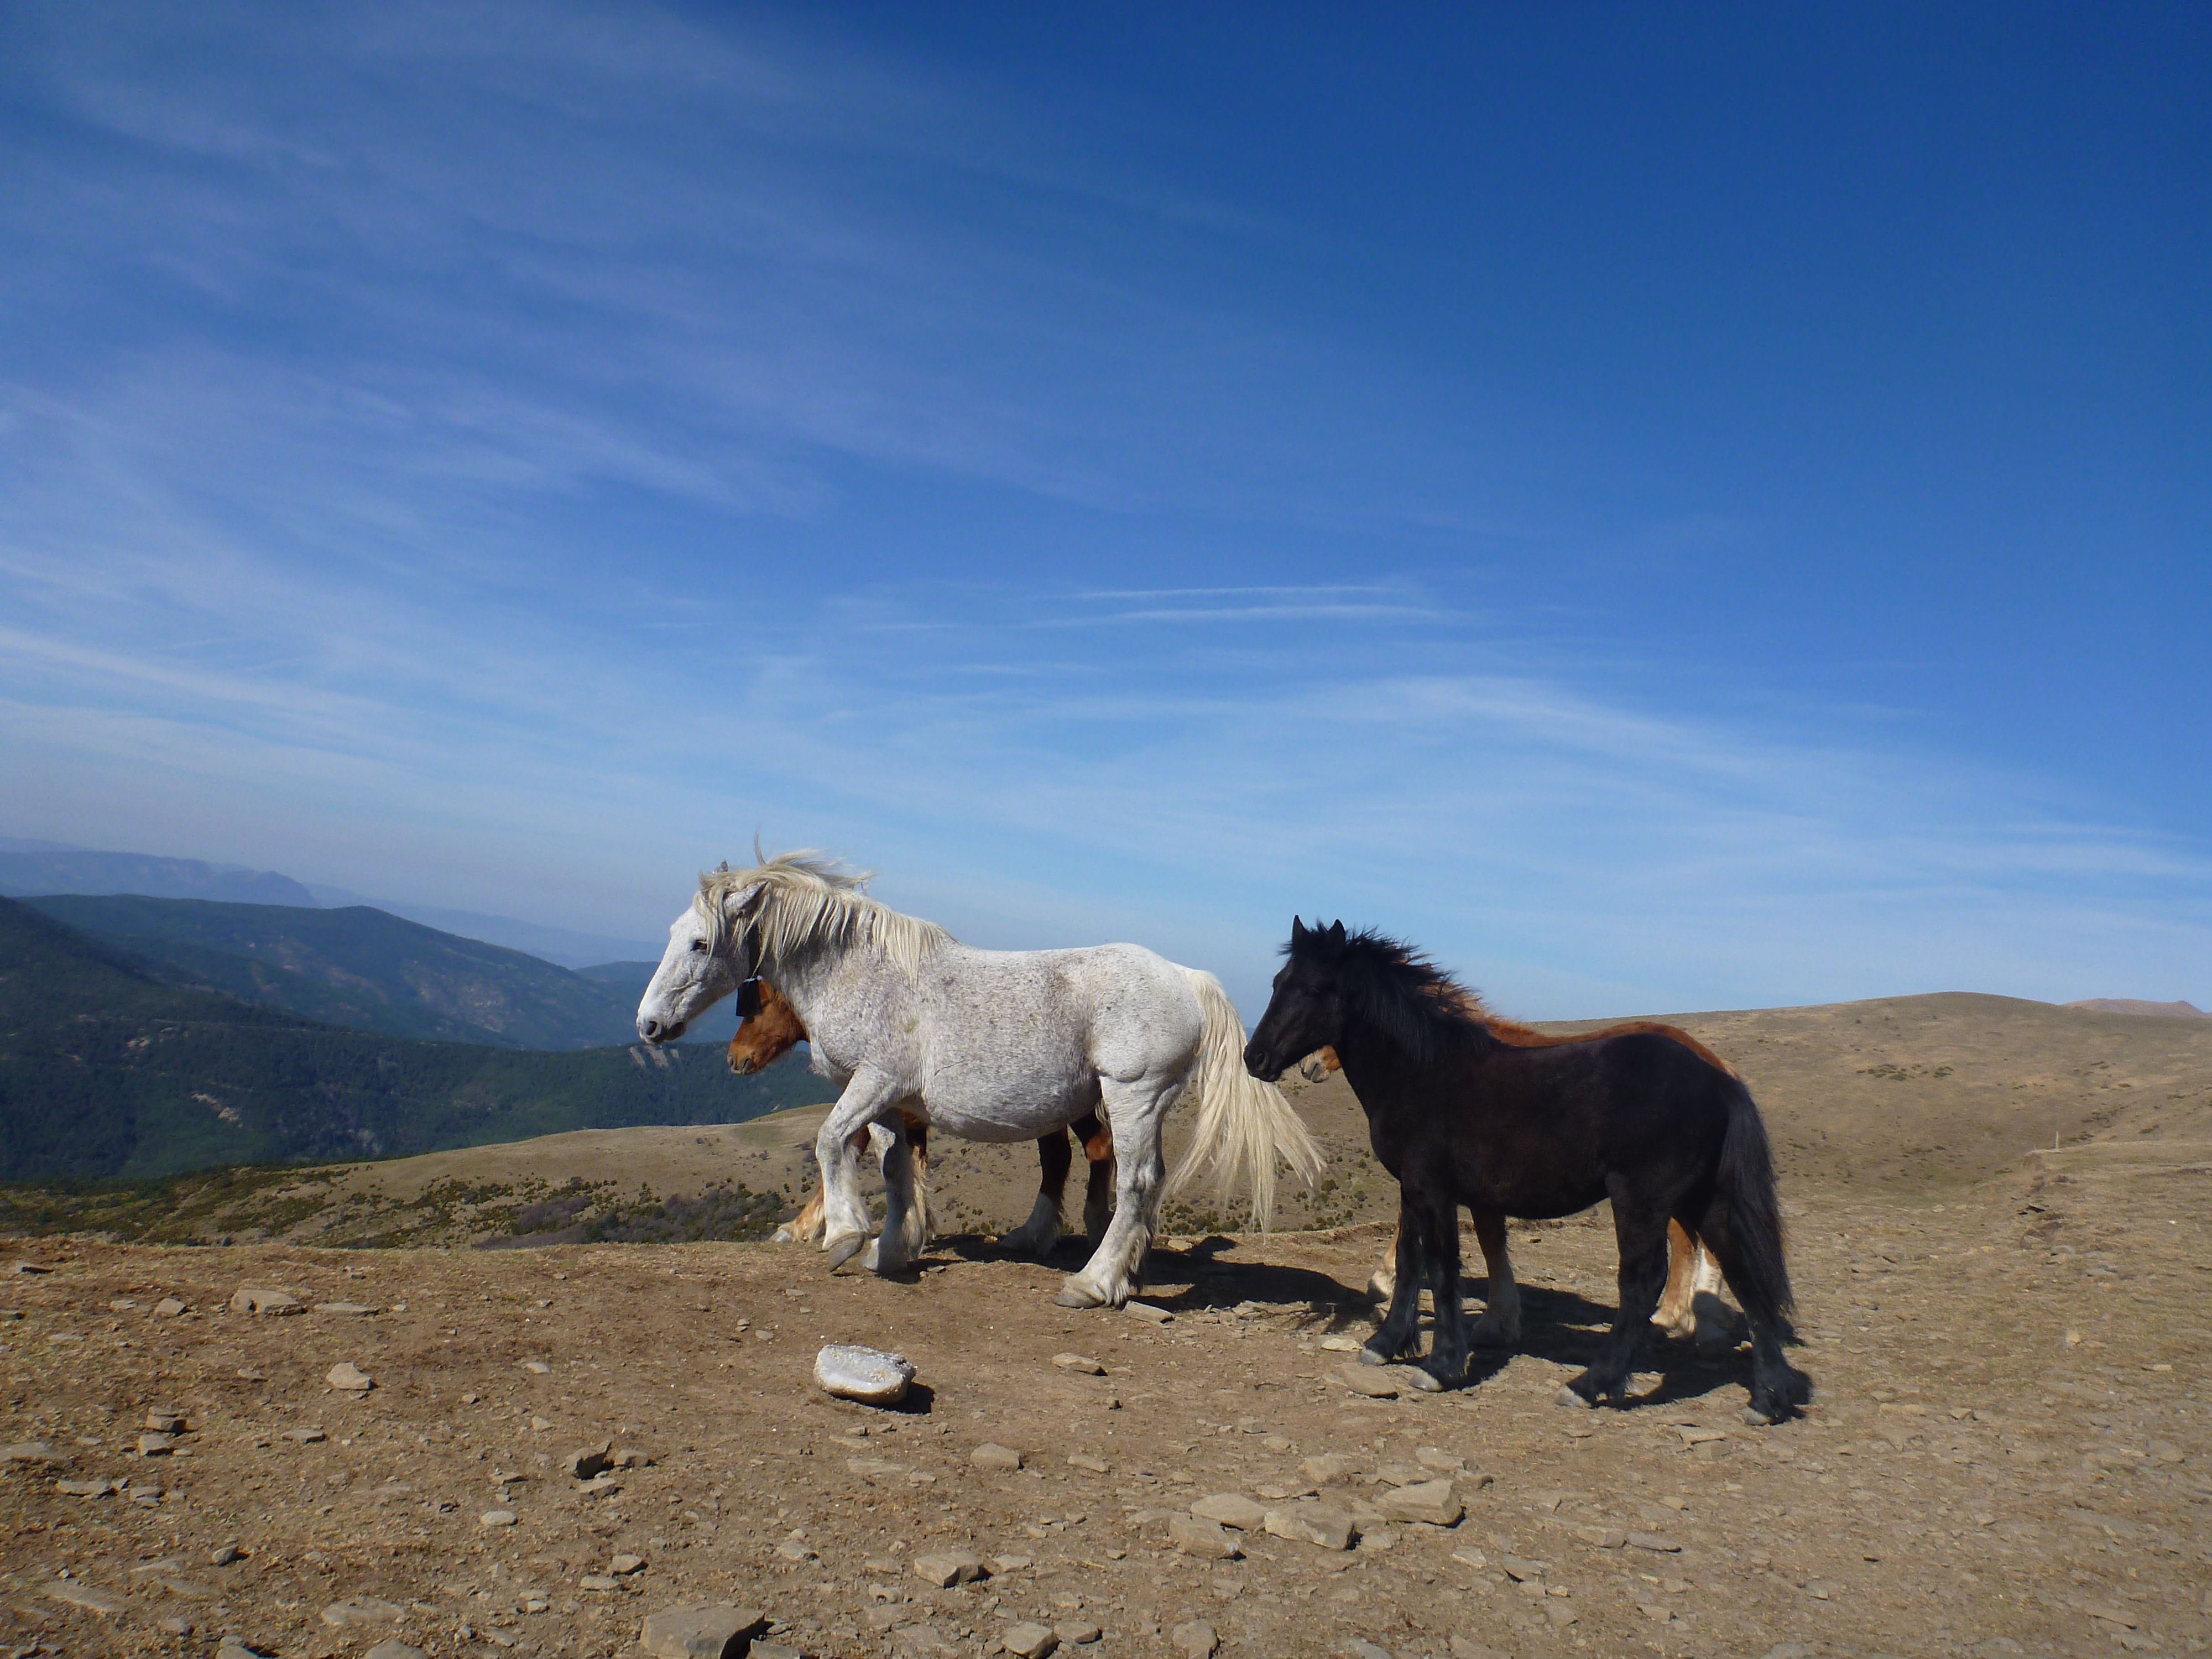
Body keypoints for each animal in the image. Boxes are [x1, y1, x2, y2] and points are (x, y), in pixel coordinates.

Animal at [730, 982, 1115, 1256]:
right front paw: (917, 1227)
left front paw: (798, 1228)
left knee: (1070, 1154)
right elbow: (909, 1166)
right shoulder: (906, 1121)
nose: (735, 1059)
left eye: (756, 1008)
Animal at [1256, 916, 1805, 1425]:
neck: (1423, 1071)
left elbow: (1444, 1265)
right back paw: (1767, 1398)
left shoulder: (1435, 1190)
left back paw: (1593, 1383)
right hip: (1706, 1199)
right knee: (1744, 1275)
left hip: (1643, 1199)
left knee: (1645, 1280)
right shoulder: (1414, 1189)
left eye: (1316, 988)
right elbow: (1413, 1263)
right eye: (1278, 981)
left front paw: (1443, 1366)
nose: (1255, 1057)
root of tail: (1720, 1078)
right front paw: (1387, 1343)